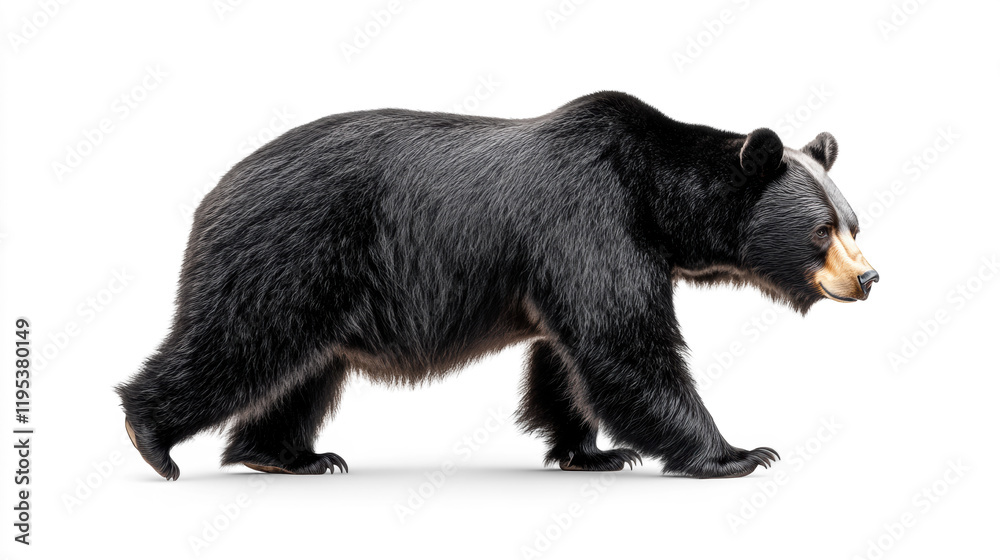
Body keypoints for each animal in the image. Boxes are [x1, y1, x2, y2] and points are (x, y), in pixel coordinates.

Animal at [115, 91, 878, 480]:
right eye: (820, 231)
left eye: (853, 222)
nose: (868, 277)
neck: (655, 198)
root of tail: (211, 194)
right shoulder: (589, 217)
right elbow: (624, 344)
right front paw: (737, 452)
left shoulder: (565, 259)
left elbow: (566, 362)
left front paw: (592, 452)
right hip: (286, 251)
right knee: (237, 344)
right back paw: (150, 436)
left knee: (302, 371)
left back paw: (289, 456)